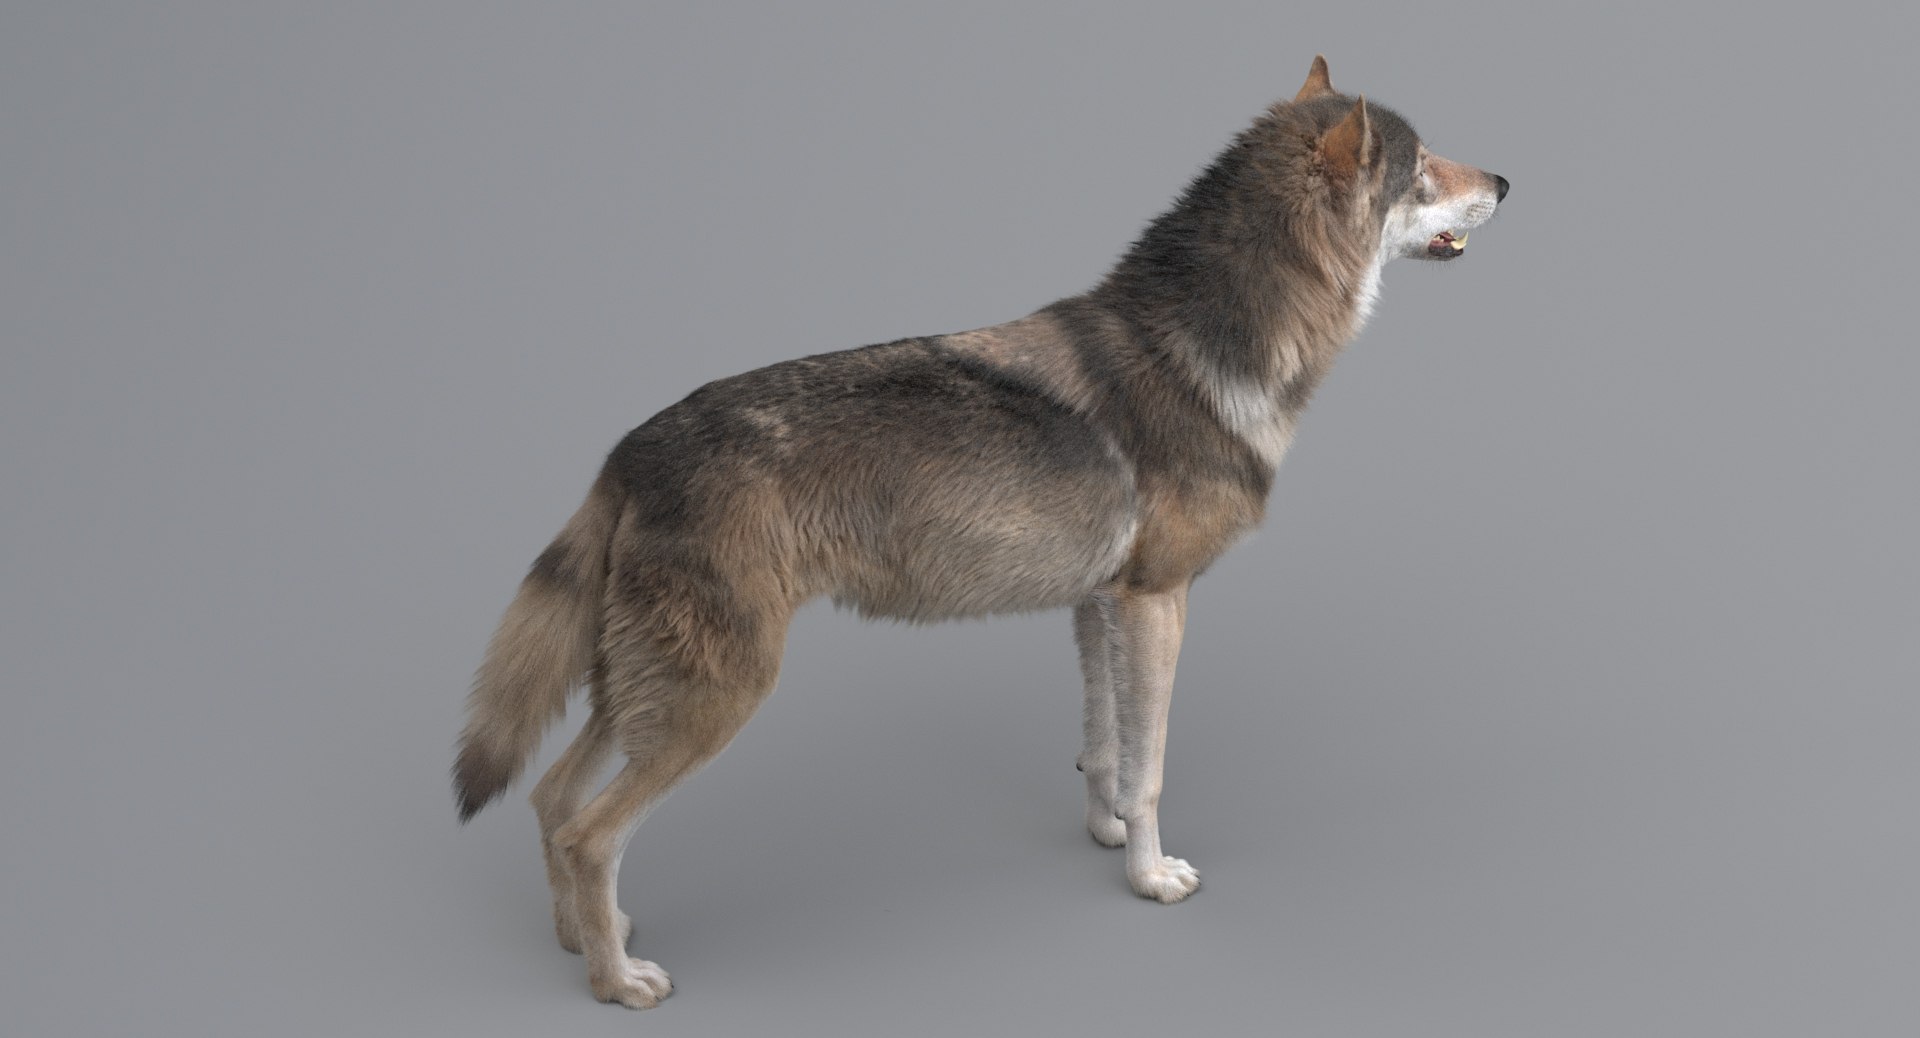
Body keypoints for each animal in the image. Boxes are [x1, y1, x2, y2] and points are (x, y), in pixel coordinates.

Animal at [454, 56, 1507, 1008]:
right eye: (1423, 167)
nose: (1505, 181)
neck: (1208, 350)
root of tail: (627, 450)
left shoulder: (1097, 605)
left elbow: (1106, 749)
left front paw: (1106, 839)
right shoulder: (1157, 602)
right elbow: (1153, 767)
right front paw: (1152, 879)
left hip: (641, 696)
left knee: (549, 802)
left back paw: (581, 943)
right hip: (714, 700)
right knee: (588, 832)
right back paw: (618, 982)